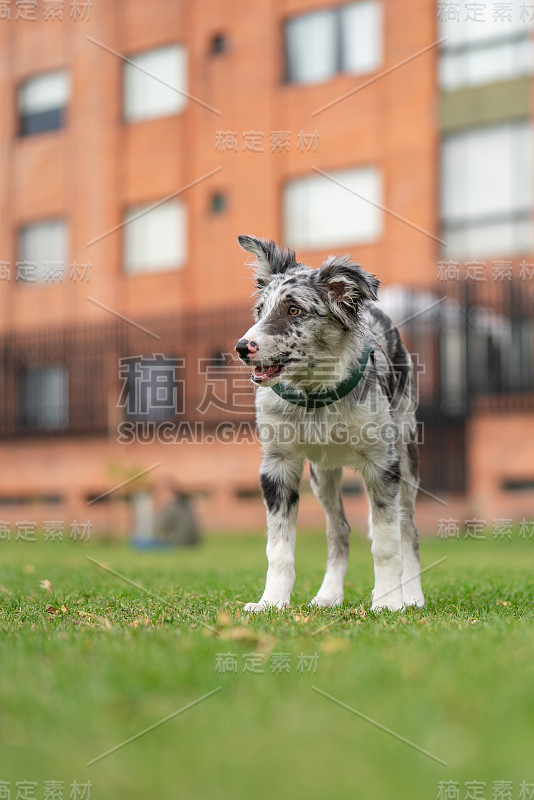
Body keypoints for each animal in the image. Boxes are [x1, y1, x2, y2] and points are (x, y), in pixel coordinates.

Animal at [237, 233, 426, 612]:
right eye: (260, 310)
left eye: (294, 310)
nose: (242, 347)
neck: (315, 396)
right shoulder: (277, 466)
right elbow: (278, 548)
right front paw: (271, 602)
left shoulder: (383, 464)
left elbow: (387, 543)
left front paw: (388, 601)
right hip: (322, 475)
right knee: (339, 531)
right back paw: (328, 595)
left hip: (407, 456)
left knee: (408, 530)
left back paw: (412, 596)